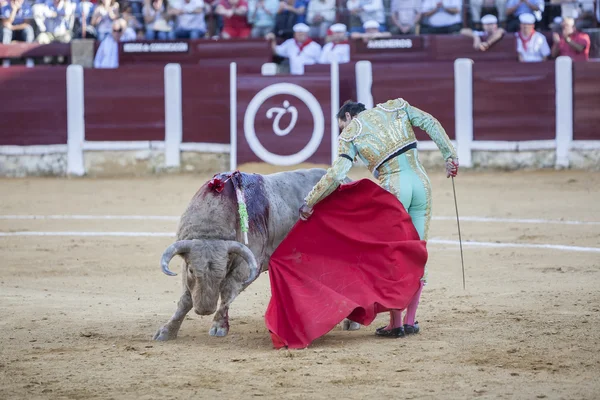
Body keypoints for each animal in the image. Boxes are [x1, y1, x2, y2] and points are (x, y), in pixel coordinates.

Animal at [155, 169, 360, 340]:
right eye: (192, 271)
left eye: (222, 272)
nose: (205, 309)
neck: (211, 230)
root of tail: (349, 180)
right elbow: (185, 299)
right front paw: (167, 331)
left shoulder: (247, 267)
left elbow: (228, 290)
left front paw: (218, 326)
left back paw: (352, 322)